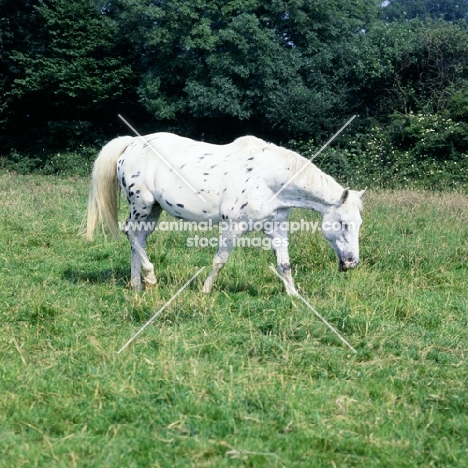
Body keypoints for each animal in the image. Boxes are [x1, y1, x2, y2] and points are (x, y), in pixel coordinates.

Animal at [85, 133, 366, 296]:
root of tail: (131, 144)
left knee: (138, 240)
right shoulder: (233, 227)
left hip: (153, 211)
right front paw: (205, 291)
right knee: (130, 234)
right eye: (343, 224)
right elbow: (219, 260)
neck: (269, 177)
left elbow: (284, 264)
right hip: (141, 204)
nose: (352, 262)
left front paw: (294, 297)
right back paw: (151, 278)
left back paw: (138, 284)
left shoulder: (276, 227)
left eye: (358, 223)